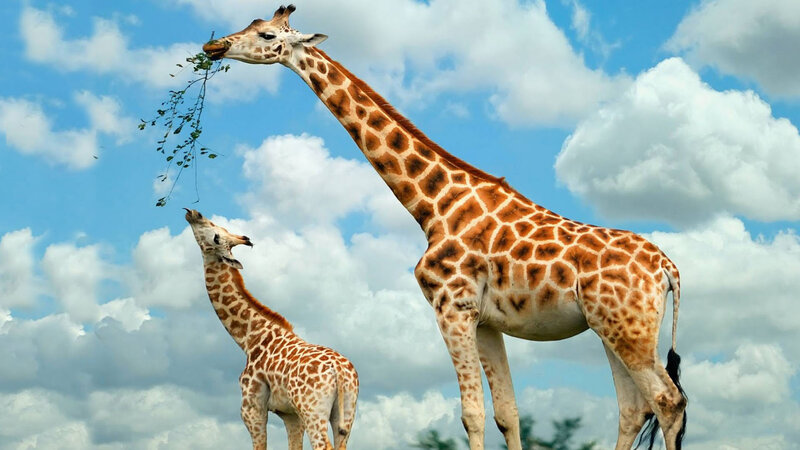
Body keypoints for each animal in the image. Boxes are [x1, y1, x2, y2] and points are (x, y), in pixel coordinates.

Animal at [185, 208, 359, 450]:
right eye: (220, 229)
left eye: (216, 236)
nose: (193, 213)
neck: (249, 339)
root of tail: (340, 371)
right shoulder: (291, 414)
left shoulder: (252, 409)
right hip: (346, 411)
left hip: (313, 409)